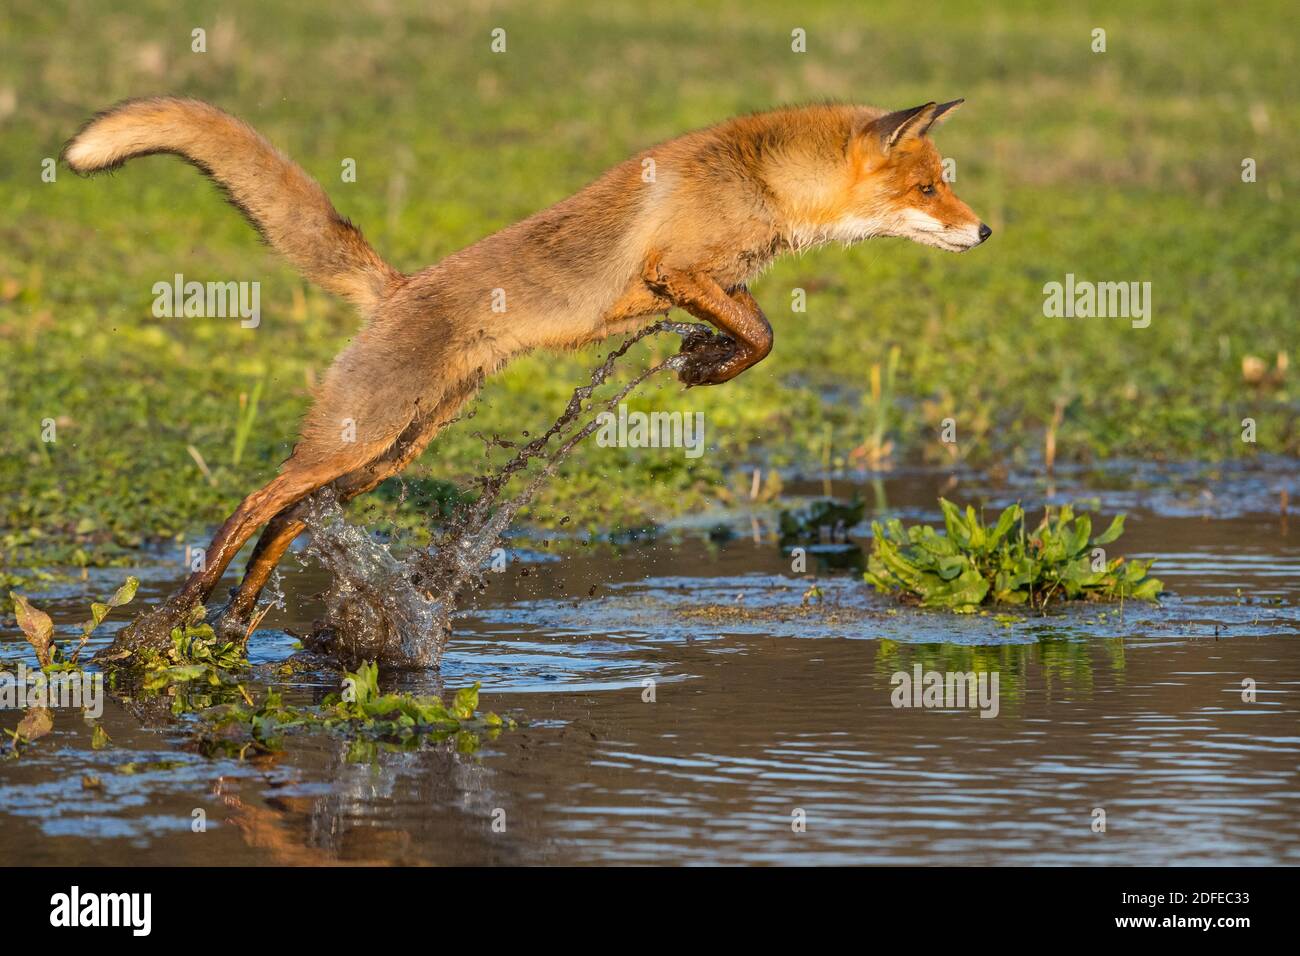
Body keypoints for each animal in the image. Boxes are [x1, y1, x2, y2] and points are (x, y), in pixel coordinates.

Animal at [63, 97, 982, 655]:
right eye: (928, 188)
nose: (986, 232)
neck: (762, 179)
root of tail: (394, 287)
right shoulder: (674, 270)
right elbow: (762, 337)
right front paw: (706, 364)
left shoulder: (713, 281)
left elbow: (758, 332)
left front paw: (705, 359)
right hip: (357, 438)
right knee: (256, 502)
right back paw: (181, 611)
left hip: (387, 453)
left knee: (289, 517)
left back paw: (237, 619)